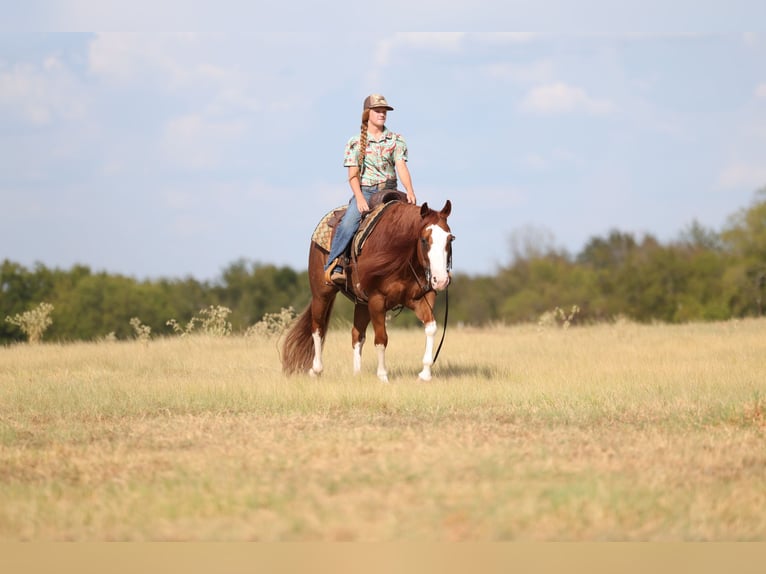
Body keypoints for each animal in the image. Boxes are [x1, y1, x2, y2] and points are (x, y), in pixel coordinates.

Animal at [281, 198, 454, 382]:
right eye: (424, 240)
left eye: (450, 239)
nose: (441, 280)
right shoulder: (377, 300)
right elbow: (381, 338)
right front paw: (383, 376)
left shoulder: (421, 298)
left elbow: (431, 328)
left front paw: (425, 374)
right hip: (321, 294)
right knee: (317, 329)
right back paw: (316, 369)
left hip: (361, 303)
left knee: (357, 335)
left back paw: (357, 373)